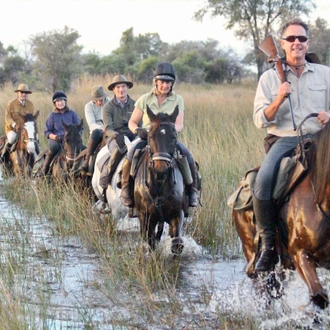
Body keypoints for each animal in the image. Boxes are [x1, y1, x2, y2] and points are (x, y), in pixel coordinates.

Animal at [133, 104, 187, 254]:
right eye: (150, 136)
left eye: (174, 137)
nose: (160, 170)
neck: (159, 183)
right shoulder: (146, 217)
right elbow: (151, 243)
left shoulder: (177, 214)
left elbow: (176, 244)